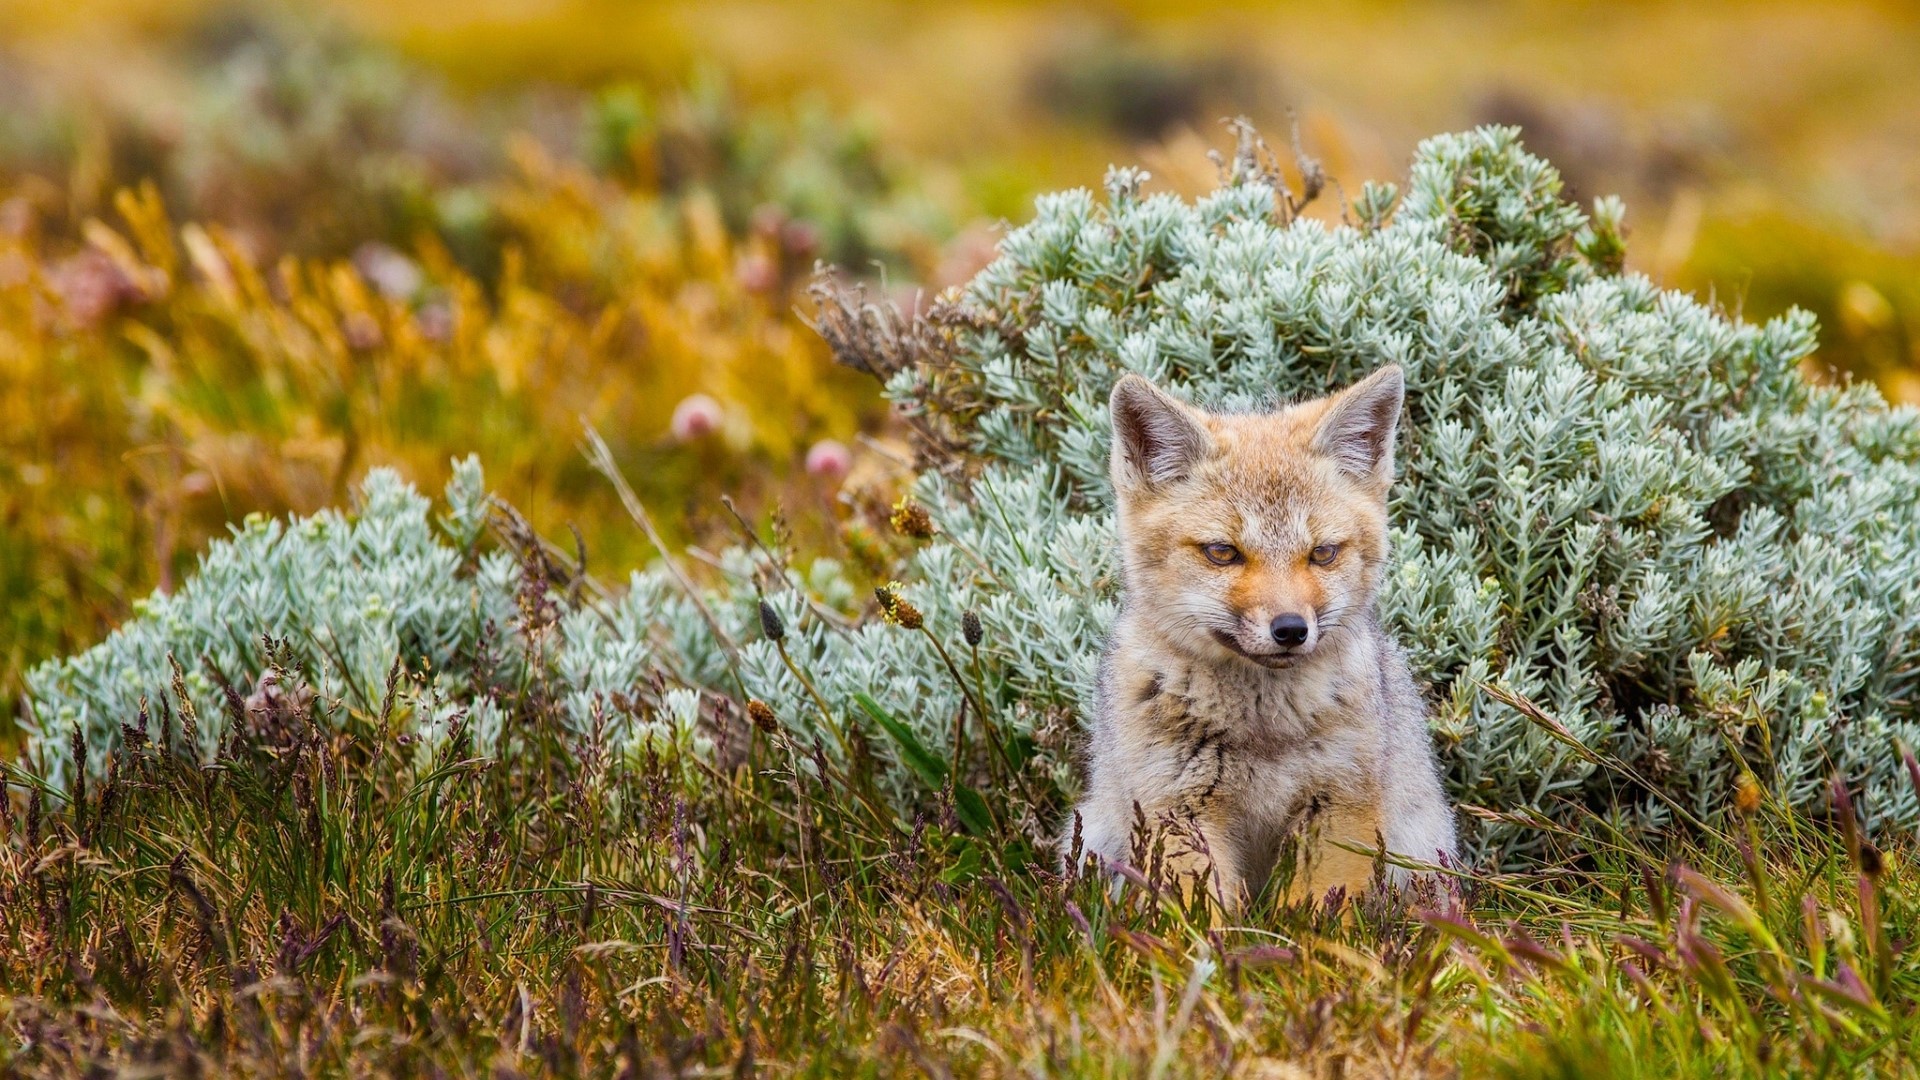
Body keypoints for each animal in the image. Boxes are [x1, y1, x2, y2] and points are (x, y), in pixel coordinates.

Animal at [1067, 364, 1456, 911]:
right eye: (1222, 552)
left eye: (1323, 553)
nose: (1291, 629)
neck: (1263, 732)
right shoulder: (1180, 809)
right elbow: (1205, 918)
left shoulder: (1338, 809)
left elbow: (1319, 917)